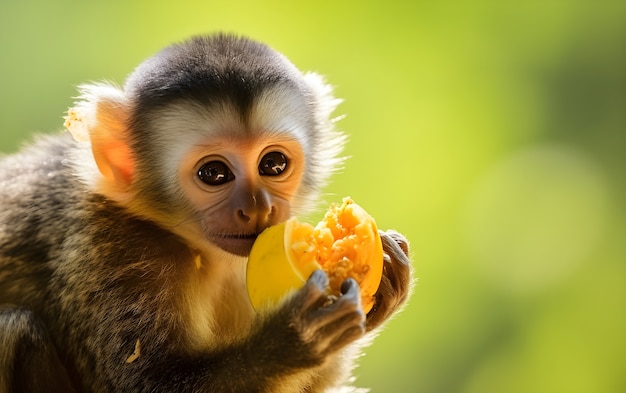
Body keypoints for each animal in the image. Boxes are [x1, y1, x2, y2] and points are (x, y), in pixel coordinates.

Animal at [0, 34, 412, 392]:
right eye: (214, 173)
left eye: (273, 164)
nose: (257, 207)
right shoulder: (112, 251)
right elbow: (141, 383)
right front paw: (293, 340)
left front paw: (384, 285)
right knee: (16, 328)